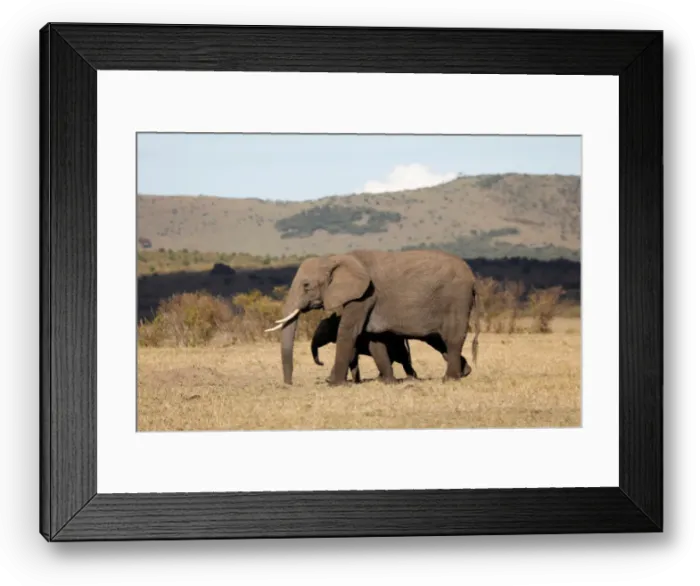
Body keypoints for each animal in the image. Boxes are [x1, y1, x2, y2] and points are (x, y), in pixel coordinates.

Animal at [264, 248, 481, 386]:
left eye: (306, 286)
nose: (289, 384)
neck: (336, 258)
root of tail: (473, 278)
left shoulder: (363, 295)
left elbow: (348, 332)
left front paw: (334, 383)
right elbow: (375, 339)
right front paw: (386, 382)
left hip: (457, 298)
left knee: (452, 337)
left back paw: (449, 379)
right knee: (438, 340)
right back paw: (465, 373)